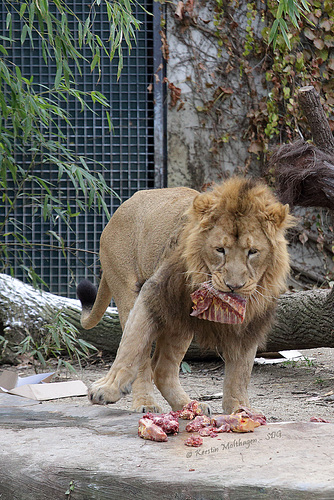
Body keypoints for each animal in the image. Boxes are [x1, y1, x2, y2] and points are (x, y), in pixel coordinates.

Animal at [77, 177, 294, 414]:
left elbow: (241, 369)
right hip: (127, 291)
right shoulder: (153, 291)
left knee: (162, 369)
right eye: (220, 250)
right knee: (143, 361)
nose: (233, 286)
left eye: (252, 252)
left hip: (179, 321)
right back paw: (146, 403)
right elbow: (131, 346)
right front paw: (106, 389)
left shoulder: (250, 321)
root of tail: (121, 208)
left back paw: (188, 405)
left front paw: (240, 408)